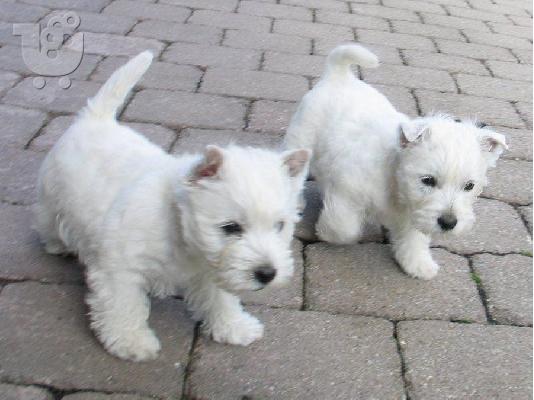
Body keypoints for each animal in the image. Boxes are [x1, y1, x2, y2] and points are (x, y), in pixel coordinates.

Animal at [35, 51, 312, 360]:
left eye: (279, 225)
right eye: (230, 227)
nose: (267, 274)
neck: (177, 227)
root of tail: (96, 118)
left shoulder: (211, 269)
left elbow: (221, 298)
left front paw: (234, 327)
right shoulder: (118, 269)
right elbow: (124, 305)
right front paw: (132, 341)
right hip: (51, 197)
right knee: (48, 222)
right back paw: (57, 245)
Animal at [284, 43, 506, 280]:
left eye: (469, 186)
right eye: (428, 180)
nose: (449, 223)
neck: (394, 179)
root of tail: (339, 75)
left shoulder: (416, 215)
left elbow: (414, 239)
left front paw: (418, 264)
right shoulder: (347, 192)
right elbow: (344, 228)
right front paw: (326, 232)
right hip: (301, 137)